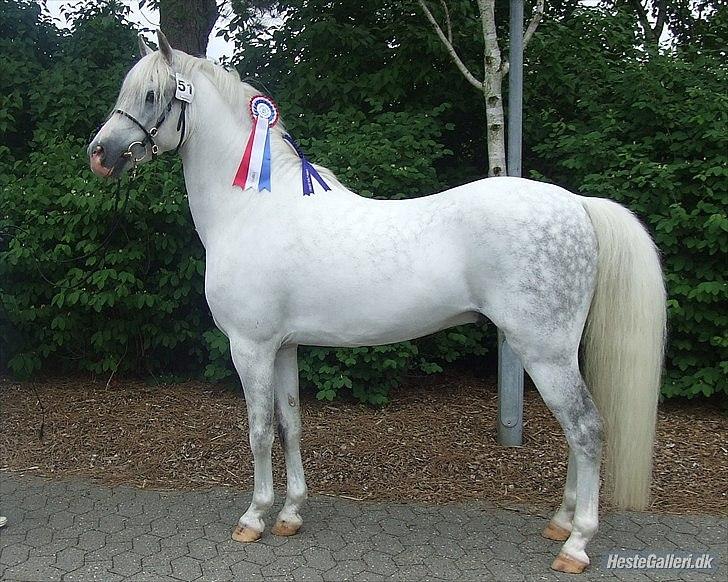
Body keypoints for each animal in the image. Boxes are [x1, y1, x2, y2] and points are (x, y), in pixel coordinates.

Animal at [88, 31, 666, 574]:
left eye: (151, 94)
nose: (100, 154)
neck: (251, 207)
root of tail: (576, 204)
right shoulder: (284, 347)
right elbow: (291, 423)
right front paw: (291, 513)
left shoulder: (250, 347)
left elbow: (259, 431)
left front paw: (255, 516)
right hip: (553, 353)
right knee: (574, 433)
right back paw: (560, 523)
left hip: (545, 351)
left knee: (586, 429)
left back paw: (576, 544)